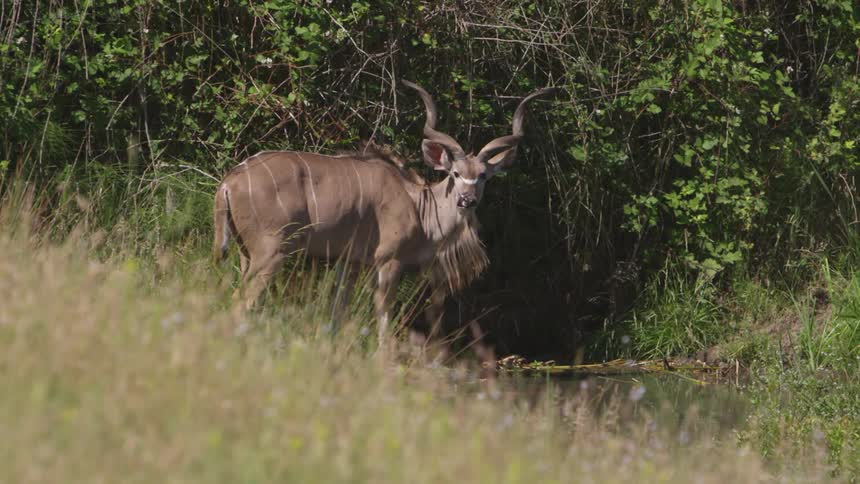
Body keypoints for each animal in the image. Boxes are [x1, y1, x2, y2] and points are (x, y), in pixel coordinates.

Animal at [213, 81, 554, 346]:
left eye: (483, 176)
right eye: (455, 174)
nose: (466, 200)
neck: (419, 204)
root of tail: (230, 182)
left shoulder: (349, 263)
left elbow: (338, 312)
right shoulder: (388, 261)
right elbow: (383, 315)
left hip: (246, 254)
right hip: (270, 253)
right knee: (238, 303)